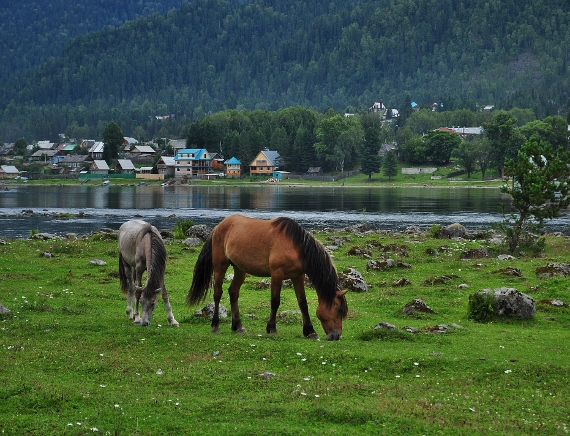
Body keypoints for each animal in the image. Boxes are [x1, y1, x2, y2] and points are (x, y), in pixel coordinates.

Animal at [186, 215, 346, 340]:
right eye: (338, 309)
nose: (336, 336)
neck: (296, 246)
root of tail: (218, 227)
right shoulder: (277, 274)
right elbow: (275, 301)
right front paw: (272, 328)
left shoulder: (298, 276)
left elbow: (303, 303)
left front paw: (310, 332)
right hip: (220, 266)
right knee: (218, 294)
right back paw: (215, 326)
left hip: (240, 269)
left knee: (233, 292)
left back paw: (238, 327)